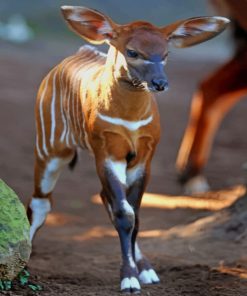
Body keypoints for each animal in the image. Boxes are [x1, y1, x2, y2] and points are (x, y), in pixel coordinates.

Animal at [27, 5, 230, 292]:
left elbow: (134, 216)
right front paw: (129, 279)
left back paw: (145, 268)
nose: (160, 83)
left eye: (166, 54)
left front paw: (142, 272)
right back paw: (25, 256)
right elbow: (125, 214)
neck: (130, 117)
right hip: (50, 149)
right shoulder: (108, 153)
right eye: (133, 52)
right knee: (41, 201)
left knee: (106, 199)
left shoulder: (143, 158)